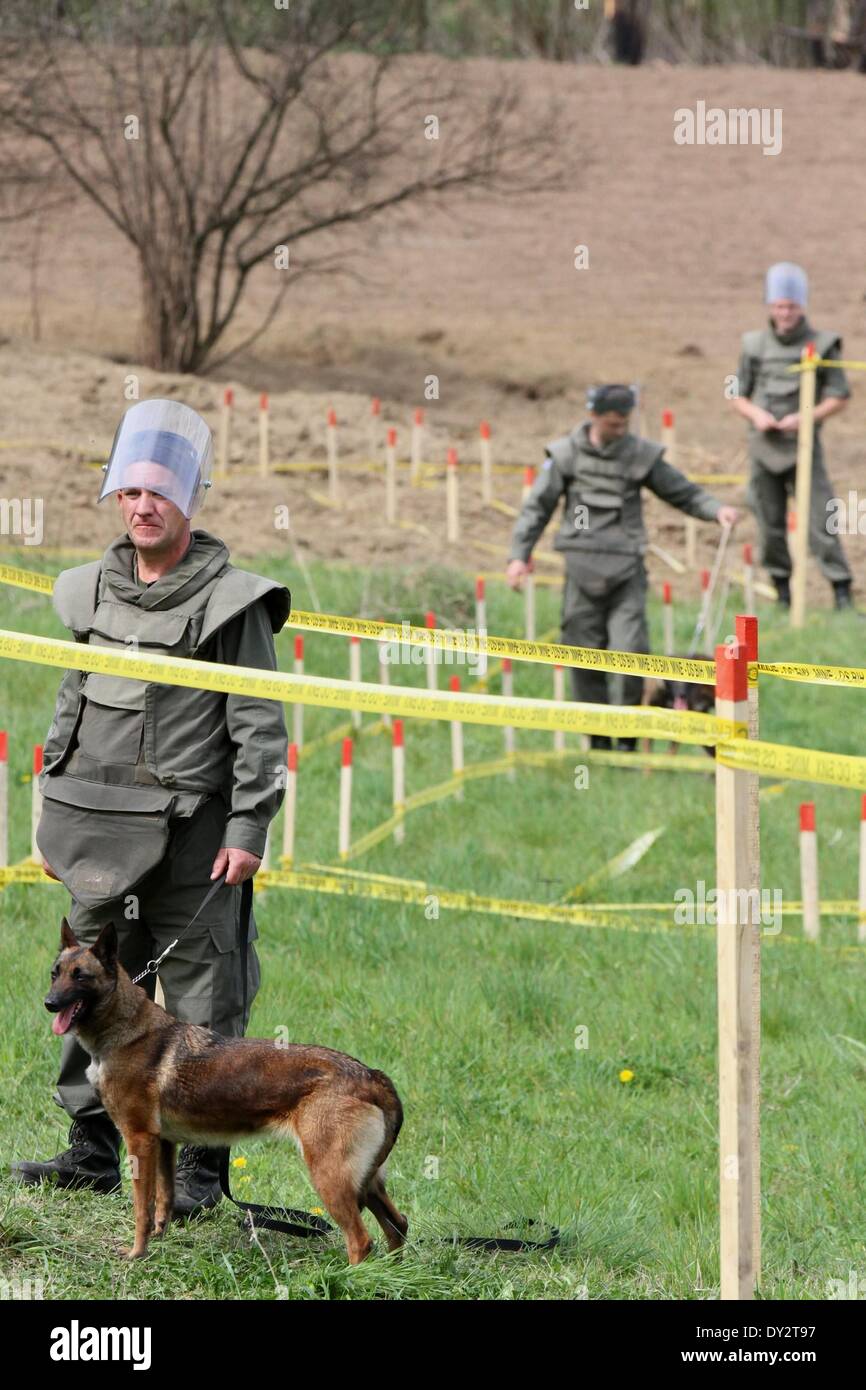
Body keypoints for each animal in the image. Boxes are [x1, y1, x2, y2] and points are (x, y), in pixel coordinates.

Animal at [46, 917, 408, 1267]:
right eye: (55, 974)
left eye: (81, 977)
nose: (49, 1003)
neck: (125, 1030)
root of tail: (371, 1076)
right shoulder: (163, 1143)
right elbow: (163, 1198)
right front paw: (159, 1237)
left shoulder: (139, 1140)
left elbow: (141, 1208)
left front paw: (137, 1253)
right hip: (365, 1180)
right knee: (398, 1225)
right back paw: (390, 1274)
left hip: (330, 1175)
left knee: (361, 1240)